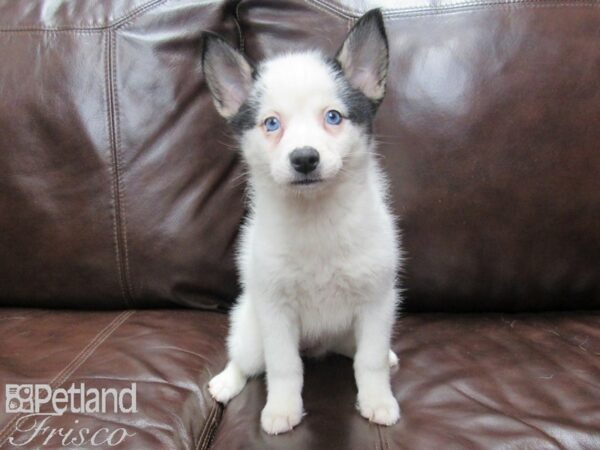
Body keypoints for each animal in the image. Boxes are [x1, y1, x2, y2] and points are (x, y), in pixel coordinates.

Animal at [203, 7, 404, 436]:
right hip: (251, 331)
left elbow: (370, 361)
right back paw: (227, 382)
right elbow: (283, 367)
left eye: (333, 116)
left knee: (358, 351)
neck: (317, 219)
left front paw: (377, 399)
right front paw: (282, 408)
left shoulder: (376, 303)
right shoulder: (276, 311)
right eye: (271, 124)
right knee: (245, 361)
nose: (305, 158)